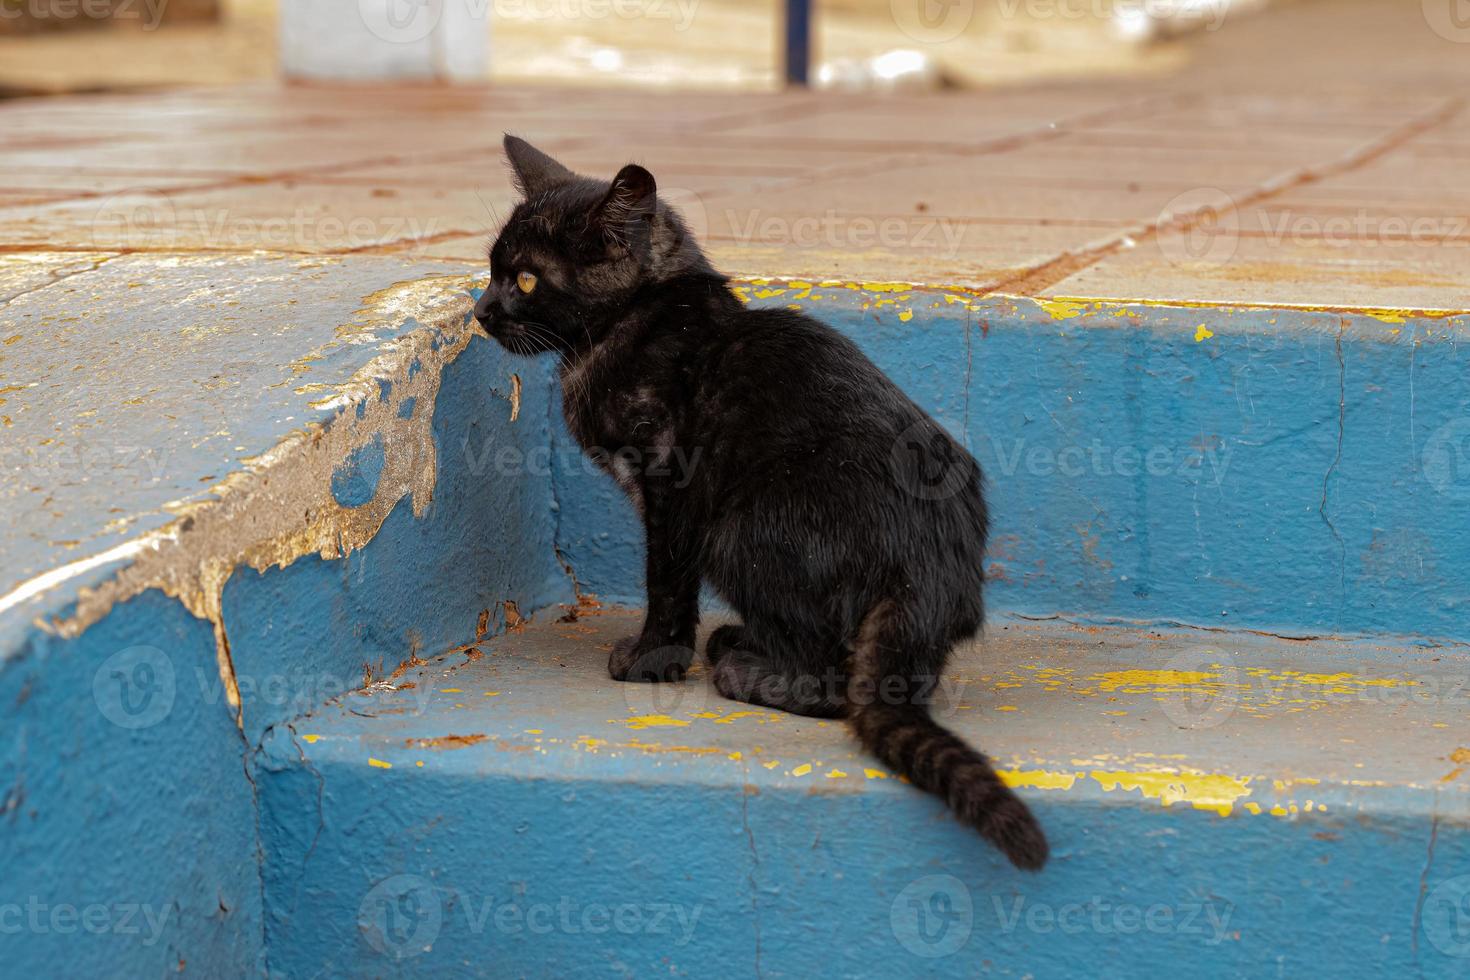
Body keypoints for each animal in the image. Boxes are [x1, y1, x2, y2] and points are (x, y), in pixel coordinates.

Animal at [473, 134, 1046, 869]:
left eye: (524, 280)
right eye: (492, 271)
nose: (480, 311)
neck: (624, 327)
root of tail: (930, 580)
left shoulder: (671, 485)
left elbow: (665, 582)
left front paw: (654, 660)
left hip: (739, 528)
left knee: (839, 681)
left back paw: (747, 674)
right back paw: (744, 642)